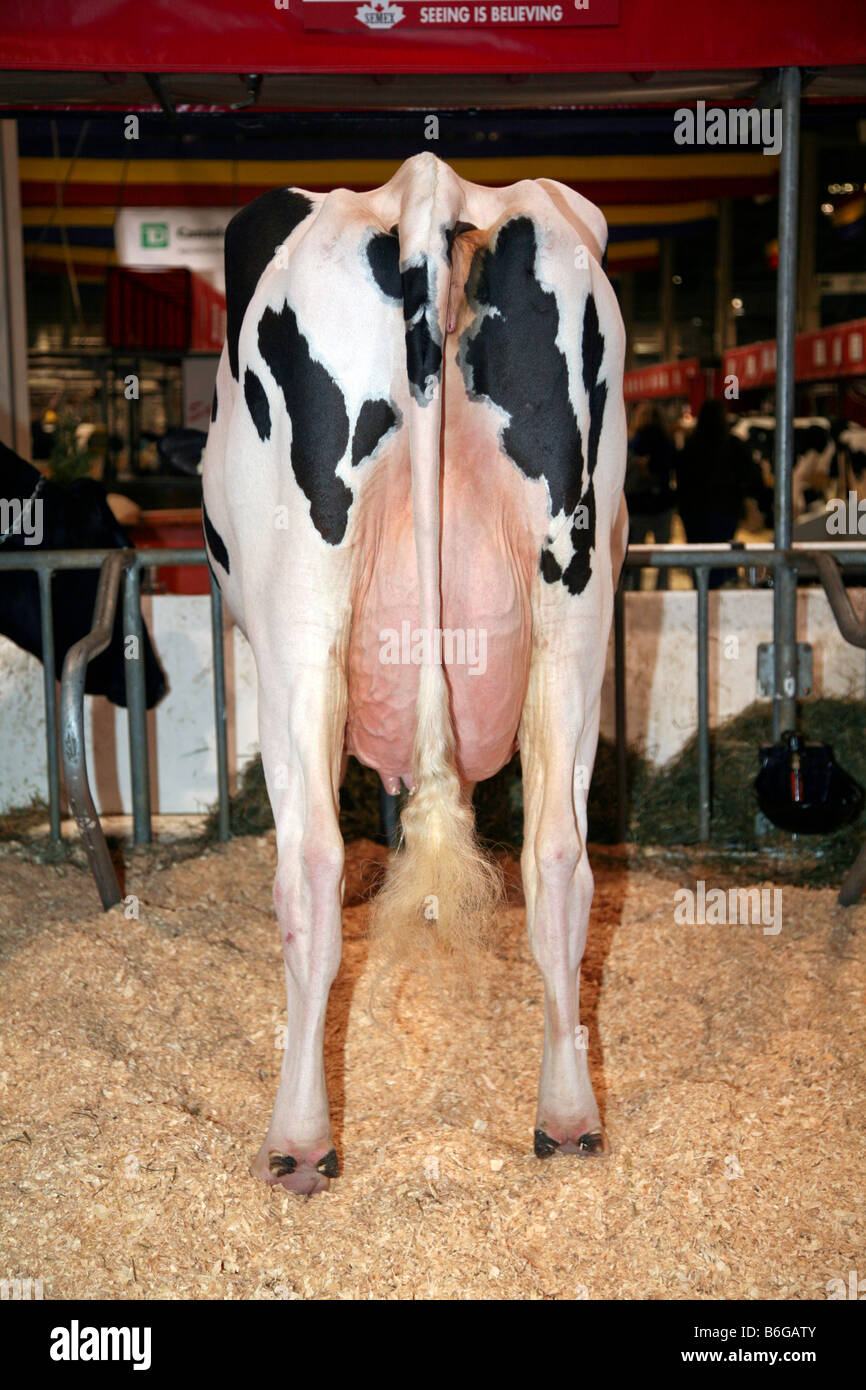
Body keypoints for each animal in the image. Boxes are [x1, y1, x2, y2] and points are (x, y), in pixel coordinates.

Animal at [202, 152, 627, 1194]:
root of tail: (428, 186)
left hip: (299, 616)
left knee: (311, 867)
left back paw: (299, 1142)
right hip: (577, 604)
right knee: (559, 857)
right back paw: (568, 1119)